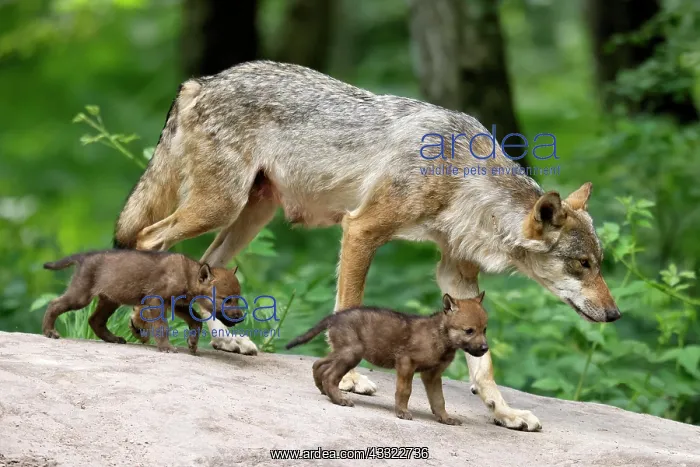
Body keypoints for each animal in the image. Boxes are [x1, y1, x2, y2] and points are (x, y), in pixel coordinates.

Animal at [41, 249, 243, 353]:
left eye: (238, 299)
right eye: (226, 300)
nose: (240, 317)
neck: (188, 275)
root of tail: (84, 256)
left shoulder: (177, 304)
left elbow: (197, 321)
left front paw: (192, 343)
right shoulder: (156, 300)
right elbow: (162, 326)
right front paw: (166, 347)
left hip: (110, 300)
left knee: (94, 320)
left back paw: (113, 339)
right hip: (81, 296)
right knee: (54, 304)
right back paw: (49, 332)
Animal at [286, 293, 488, 424]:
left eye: (484, 329)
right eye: (469, 331)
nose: (485, 348)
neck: (441, 337)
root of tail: (334, 317)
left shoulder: (432, 375)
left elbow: (439, 399)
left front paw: (445, 418)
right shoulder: (406, 363)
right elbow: (404, 391)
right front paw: (402, 412)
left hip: (343, 351)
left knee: (318, 364)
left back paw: (323, 390)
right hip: (352, 352)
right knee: (329, 375)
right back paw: (339, 399)